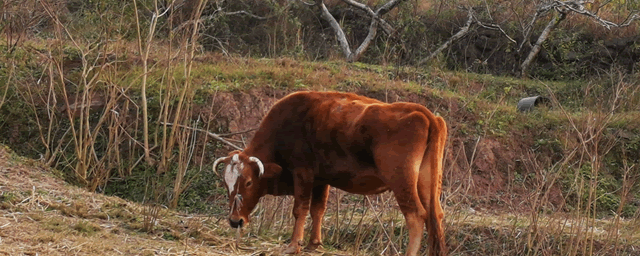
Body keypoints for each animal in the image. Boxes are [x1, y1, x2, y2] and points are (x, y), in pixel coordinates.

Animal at [212, 91, 448, 255]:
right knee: (435, 215)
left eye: (248, 182)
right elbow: (318, 210)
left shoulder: (303, 174)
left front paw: (293, 245)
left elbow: (300, 210)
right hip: (426, 183)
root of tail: (427, 115)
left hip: (402, 182)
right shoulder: (320, 180)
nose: (235, 221)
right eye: (226, 184)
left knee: (416, 216)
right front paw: (313, 243)